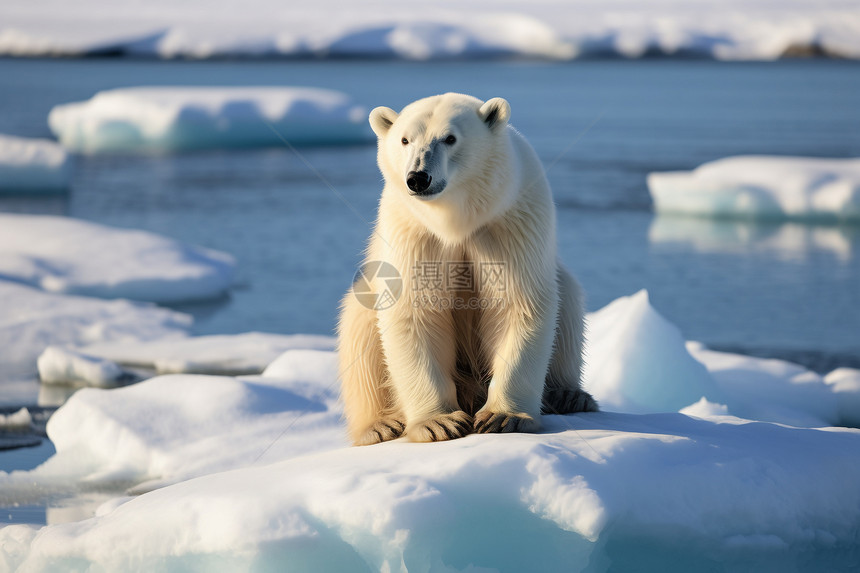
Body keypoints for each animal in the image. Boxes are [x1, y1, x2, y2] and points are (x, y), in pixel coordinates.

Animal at [338, 91, 596, 444]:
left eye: (450, 138)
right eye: (405, 139)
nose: (418, 178)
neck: (457, 220)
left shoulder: (509, 223)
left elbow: (518, 304)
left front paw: (504, 417)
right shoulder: (414, 232)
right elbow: (415, 310)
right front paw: (438, 423)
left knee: (567, 305)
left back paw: (569, 394)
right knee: (360, 329)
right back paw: (380, 425)